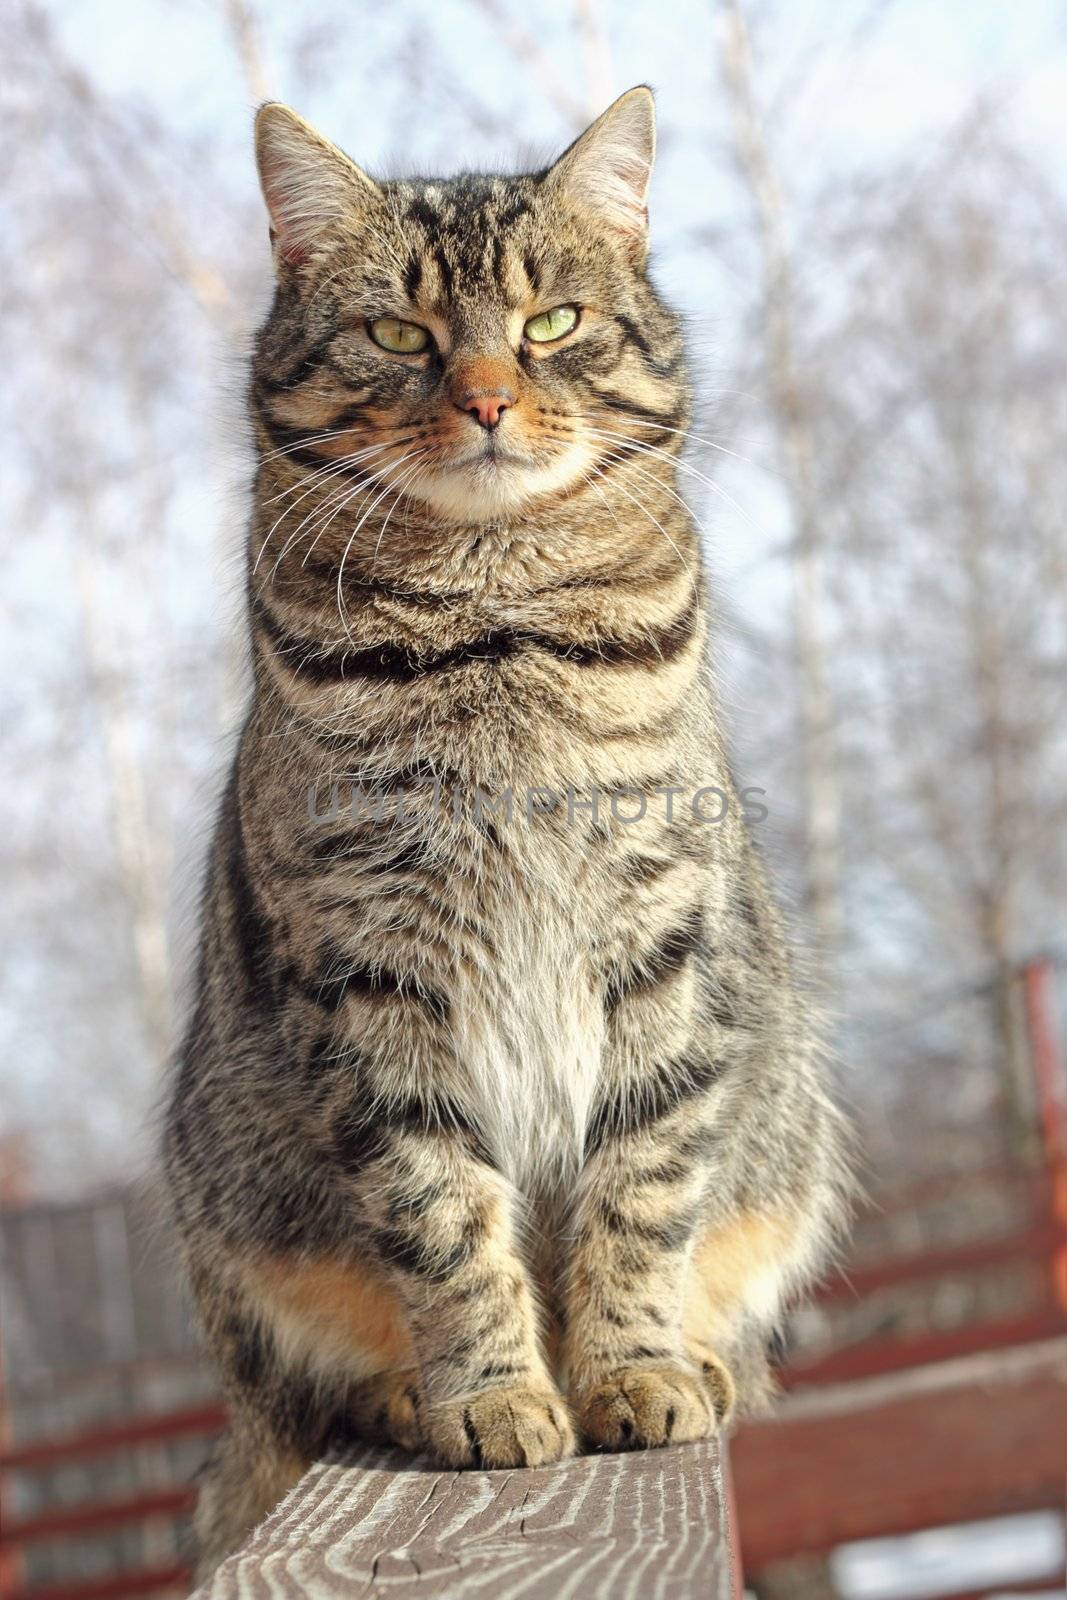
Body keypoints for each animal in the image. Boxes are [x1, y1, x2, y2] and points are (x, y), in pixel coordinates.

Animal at [164, 87, 851, 1574]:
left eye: (548, 322)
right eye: (398, 334)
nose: (483, 396)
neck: (496, 623)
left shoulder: (656, 937)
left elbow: (639, 1186)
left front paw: (633, 1371)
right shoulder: (370, 970)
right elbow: (441, 1217)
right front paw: (490, 1395)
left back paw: (702, 1362)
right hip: (239, 1235)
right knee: (310, 1376)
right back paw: (404, 1391)